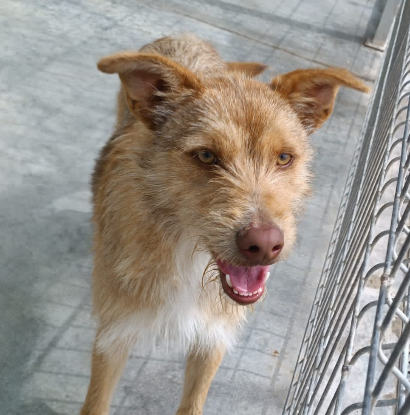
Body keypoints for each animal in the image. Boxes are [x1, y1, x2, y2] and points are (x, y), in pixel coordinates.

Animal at [80, 33, 369, 415]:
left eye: (284, 158)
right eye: (206, 156)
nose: (264, 245)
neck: (188, 255)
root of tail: (183, 35)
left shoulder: (212, 338)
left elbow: (193, 403)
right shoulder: (113, 337)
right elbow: (95, 403)